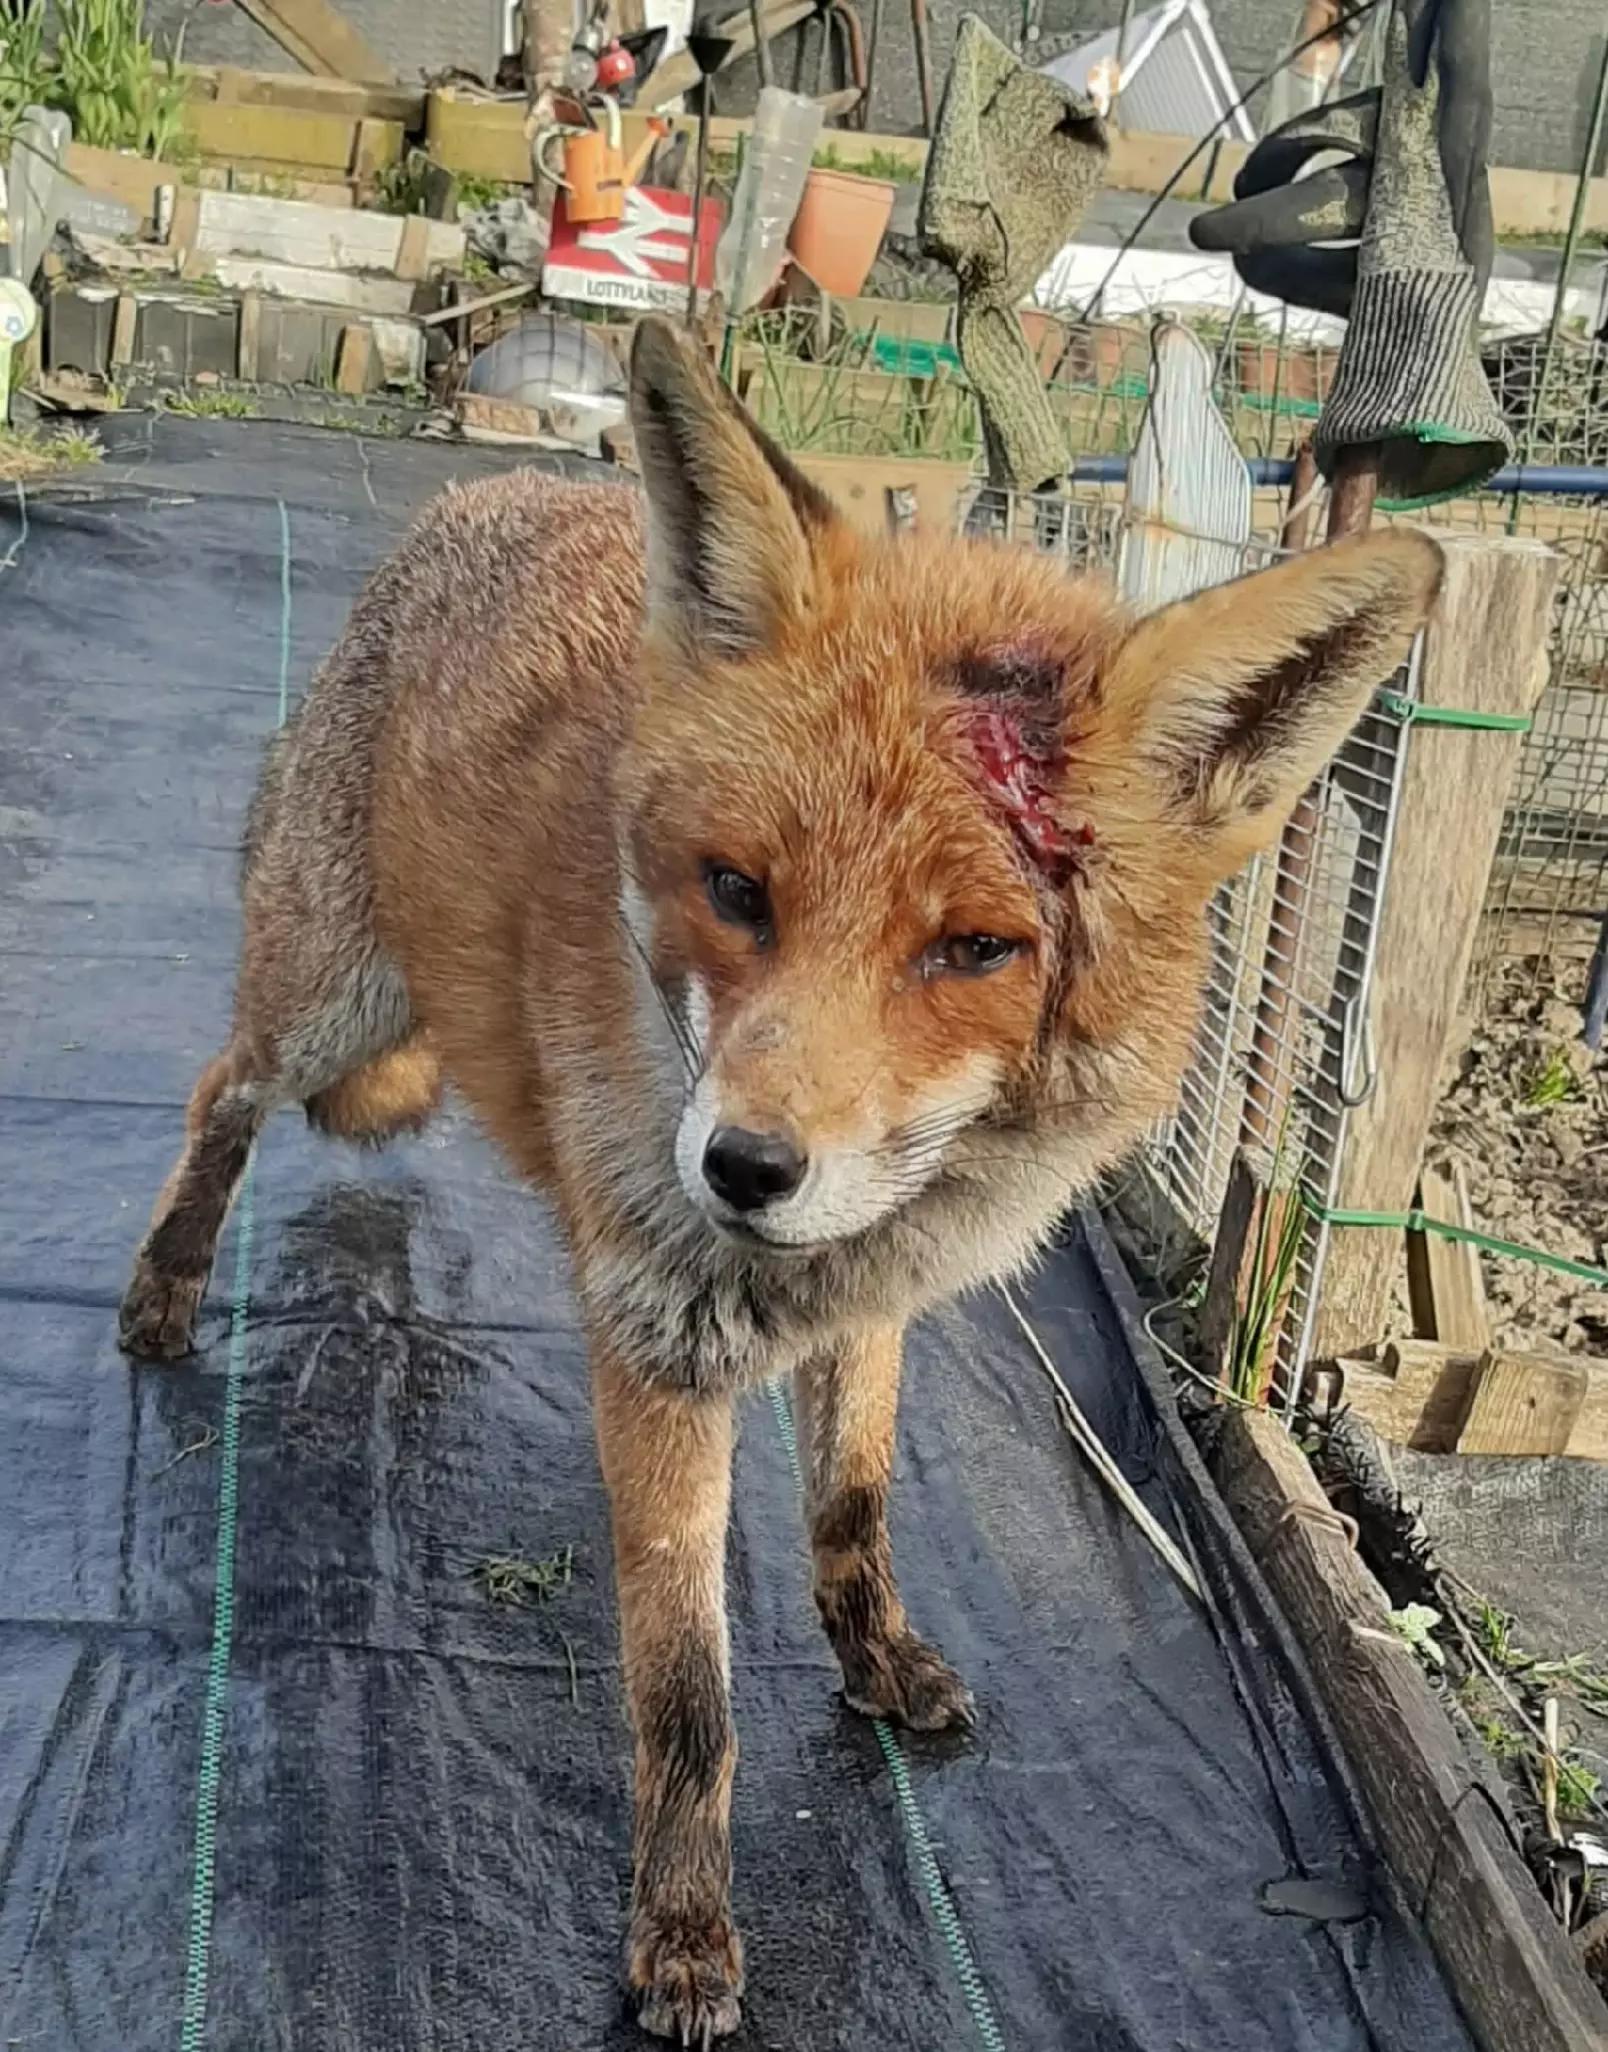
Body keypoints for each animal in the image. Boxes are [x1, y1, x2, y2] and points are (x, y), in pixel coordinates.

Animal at [118, 312, 1441, 2042]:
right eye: (736, 891)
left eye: (979, 949)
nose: (741, 1169)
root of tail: (482, 496)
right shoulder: (658, 1353)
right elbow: (687, 1698)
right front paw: (682, 1931)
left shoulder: (871, 1307)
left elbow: (855, 1508)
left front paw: (877, 1658)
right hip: (336, 1000)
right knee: (218, 1093)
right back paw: (162, 1292)